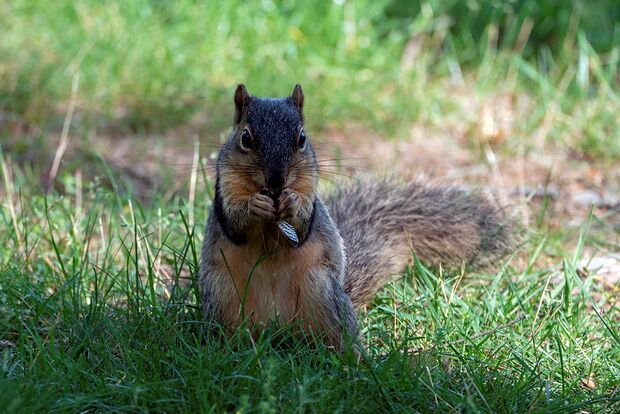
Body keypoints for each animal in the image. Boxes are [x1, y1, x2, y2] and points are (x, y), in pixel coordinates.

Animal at [199, 84, 512, 350]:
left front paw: (292, 202)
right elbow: (234, 223)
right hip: (224, 296)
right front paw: (256, 205)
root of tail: (276, 331)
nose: (276, 181)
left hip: (320, 291)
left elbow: (303, 225)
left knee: (335, 338)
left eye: (301, 139)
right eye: (245, 138)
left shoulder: (309, 189)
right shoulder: (225, 189)